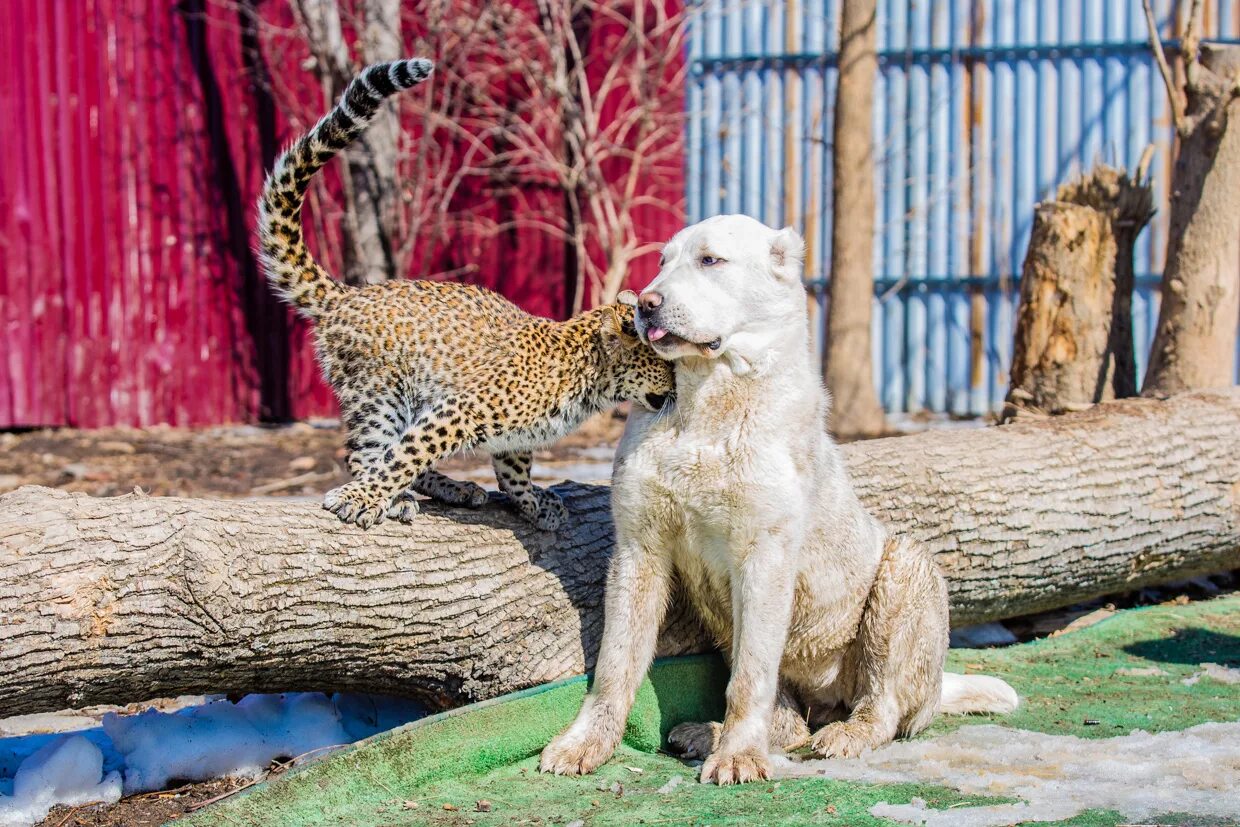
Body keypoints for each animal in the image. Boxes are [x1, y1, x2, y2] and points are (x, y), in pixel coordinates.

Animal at [540, 216, 1016, 788]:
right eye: (662, 262)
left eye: (711, 260)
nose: (646, 304)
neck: (707, 405)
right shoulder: (638, 550)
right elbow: (615, 664)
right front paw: (587, 743)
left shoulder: (764, 557)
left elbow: (750, 679)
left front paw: (740, 756)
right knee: (790, 724)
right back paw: (709, 733)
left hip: (906, 568)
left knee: (881, 707)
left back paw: (844, 734)